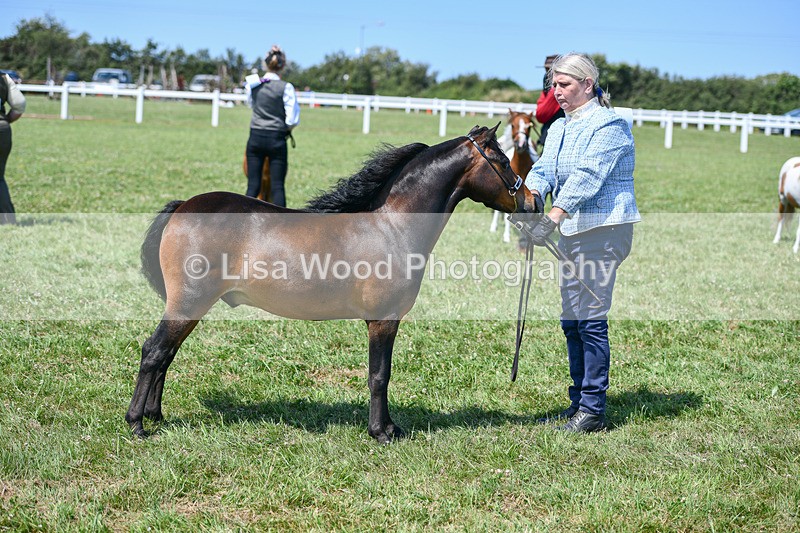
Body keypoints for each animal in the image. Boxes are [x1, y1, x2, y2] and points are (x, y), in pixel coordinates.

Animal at [126, 124, 537, 444]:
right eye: (503, 162)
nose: (532, 201)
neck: (392, 226)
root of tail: (183, 207)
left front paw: (389, 427)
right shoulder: (383, 321)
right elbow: (379, 375)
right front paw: (381, 431)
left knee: (167, 354)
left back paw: (156, 416)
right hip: (188, 303)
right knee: (154, 352)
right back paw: (137, 424)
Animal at [490, 109, 537, 243]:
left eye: (529, 126)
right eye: (513, 125)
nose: (521, 144)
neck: (520, 167)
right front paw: (506, 236)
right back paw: (493, 227)